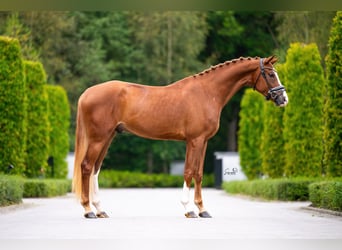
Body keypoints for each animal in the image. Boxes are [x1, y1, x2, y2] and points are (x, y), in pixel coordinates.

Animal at [72, 55, 288, 218]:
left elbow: (198, 173)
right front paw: (189, 209)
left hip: (107, 137)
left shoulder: (203, 142)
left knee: (95, 169)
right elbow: (189, 172)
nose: (283, 99)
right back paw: (88, 210)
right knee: (87, 167)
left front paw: (203, 209)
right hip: (99, 139)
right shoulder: (194, 141)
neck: (207, 92)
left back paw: (100, 210)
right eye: (271, 74)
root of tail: (87, 93)